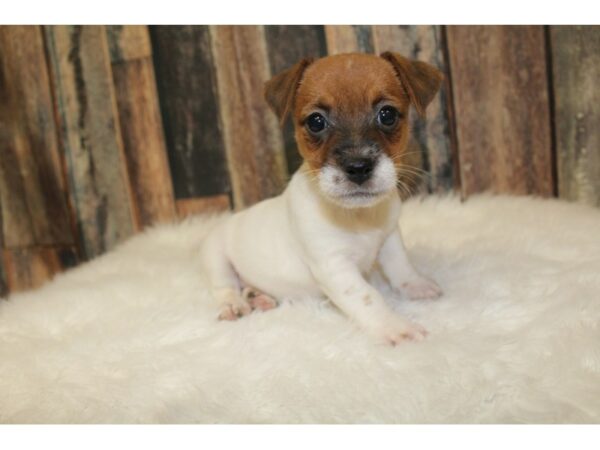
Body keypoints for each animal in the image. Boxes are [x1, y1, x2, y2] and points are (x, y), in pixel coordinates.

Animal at [202, 51, 446, 344]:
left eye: (387, 115)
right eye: (316, 121)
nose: (358, 167)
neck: (357, 217)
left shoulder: (389, 238)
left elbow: (400, 265)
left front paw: (416, 285)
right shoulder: (335, 266)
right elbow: (368, 297)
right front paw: (397, 327)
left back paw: (259, 297)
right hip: (216, 257)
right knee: (224, 286)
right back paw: (235, 304)